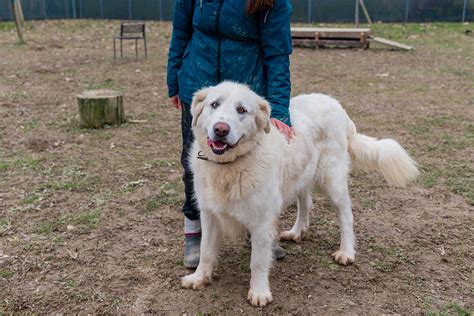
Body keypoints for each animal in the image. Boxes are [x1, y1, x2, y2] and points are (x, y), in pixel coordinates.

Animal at [181, 81, 418, 306]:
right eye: (214, 104)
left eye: (241, 110)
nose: (220, 129)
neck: (228, 166)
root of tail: (335, 104)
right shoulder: (209, 214)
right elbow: (205, 251)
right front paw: (199, 278)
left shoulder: (261, 222)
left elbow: (257, 262)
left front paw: (259, 292)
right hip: (301, 175)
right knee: (306, 204)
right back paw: (296, 232)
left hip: (332, 180)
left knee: (346, 215)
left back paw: (346, 252)